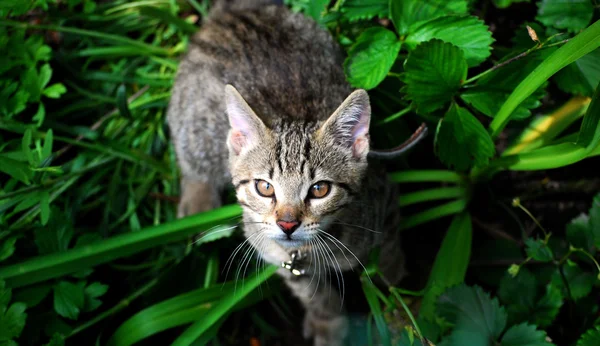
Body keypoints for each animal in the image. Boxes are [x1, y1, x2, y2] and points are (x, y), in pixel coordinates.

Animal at [168, 1, 412, 344]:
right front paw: (327, 322)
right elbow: (312, 293)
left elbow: (389, 254)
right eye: (264, 187)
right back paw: (198, 202)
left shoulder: (385, 199)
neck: (310, 251)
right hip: (196, 119)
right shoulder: (275, 254)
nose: (287, 224)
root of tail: (239, 8)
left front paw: (398, 295)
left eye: (320, 189)